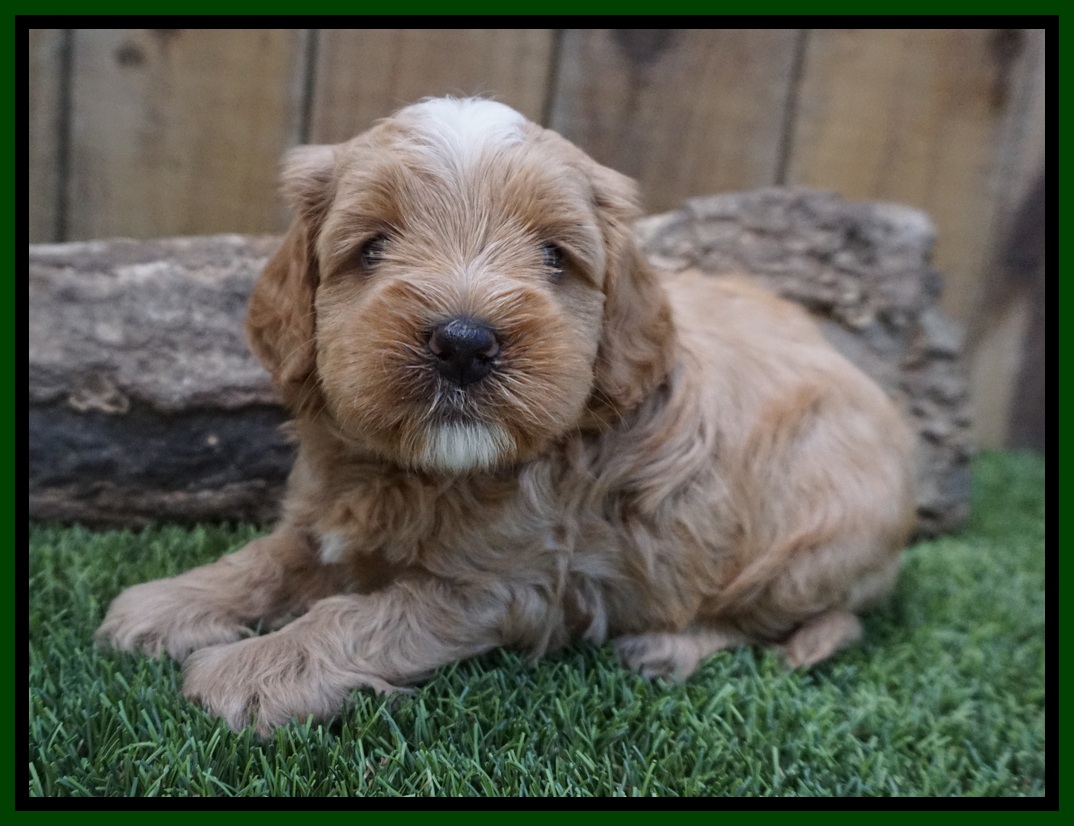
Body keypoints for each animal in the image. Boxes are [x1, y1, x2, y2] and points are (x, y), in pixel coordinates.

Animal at [97, 97, 917, 734]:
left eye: (554, 257)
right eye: (374, 247)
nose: (464, 344)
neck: (433, 469)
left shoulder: (503, 587)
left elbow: (359, 617)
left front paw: (247, 671)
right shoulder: (325, 508)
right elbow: (271, 557)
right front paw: (171, 602)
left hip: (802, 549)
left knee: (778, 617)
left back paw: (670, 647)